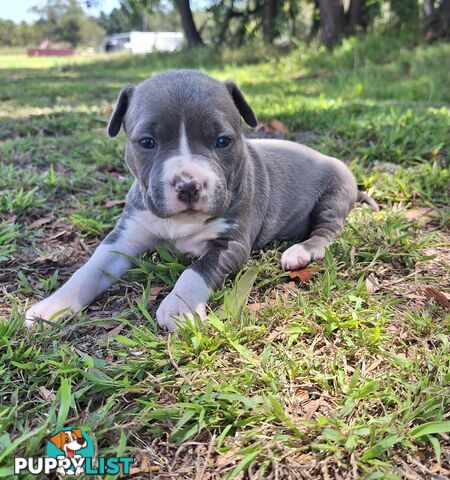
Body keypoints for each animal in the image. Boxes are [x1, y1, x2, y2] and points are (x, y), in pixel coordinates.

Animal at [26, 69, 374, 330]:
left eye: (222, 141)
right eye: (147, 142)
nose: (189, 185)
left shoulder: (230, 244)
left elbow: (196, 270)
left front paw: (179, 307)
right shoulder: (124, 237)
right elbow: (89, 269)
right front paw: (53, 305)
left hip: (333, 195)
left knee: (326, 232)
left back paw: (300, 252)